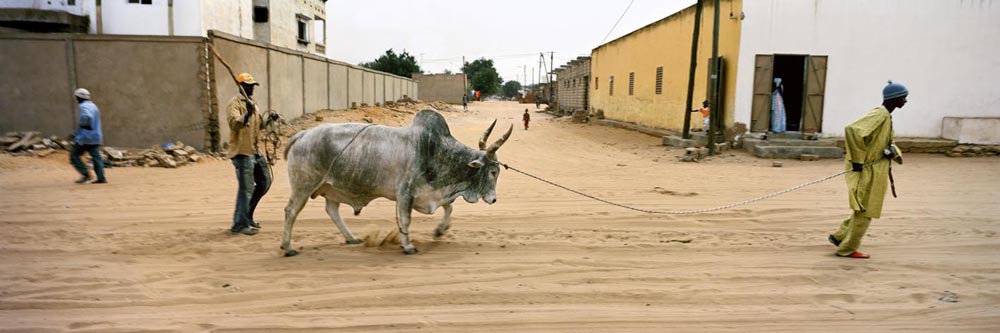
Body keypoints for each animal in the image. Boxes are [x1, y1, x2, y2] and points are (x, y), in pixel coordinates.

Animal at [282, 109, 516, 254]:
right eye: (493, 171)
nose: (494, 199)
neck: (435, 151)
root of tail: (302, 134)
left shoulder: (433, 194)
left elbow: (449, 209)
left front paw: (440, 230)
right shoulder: (405, 195)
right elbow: (405, 220)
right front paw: (408, 246)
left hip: (332, 188)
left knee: (332, 211)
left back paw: (351, 238)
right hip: (303, 186)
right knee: (291, 211)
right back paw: (287, 247)